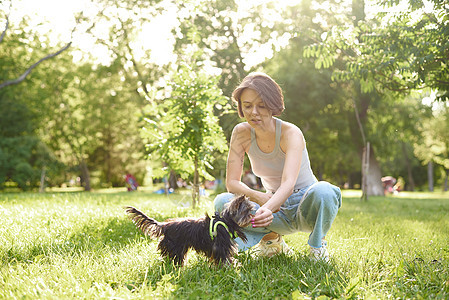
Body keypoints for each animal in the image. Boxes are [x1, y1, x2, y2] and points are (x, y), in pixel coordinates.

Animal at [124, 196, 254, 266]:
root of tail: (164, 225)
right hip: (175, 246)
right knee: (174, 257)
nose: (252, 215)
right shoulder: (221, 247)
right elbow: (225, 259)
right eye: (247, 210)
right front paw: (233, 267)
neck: (227, 221)